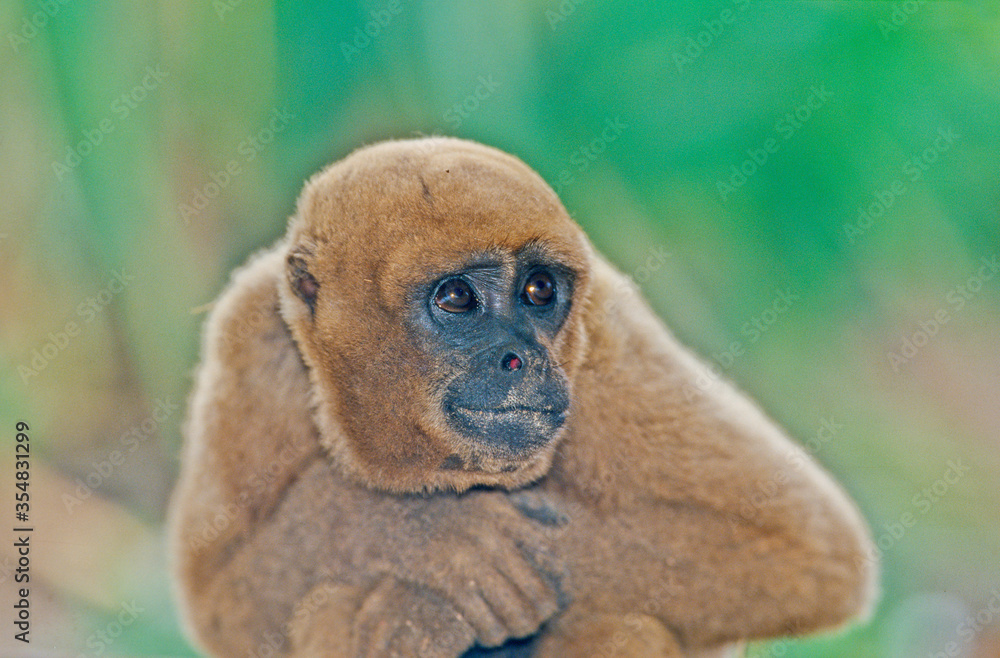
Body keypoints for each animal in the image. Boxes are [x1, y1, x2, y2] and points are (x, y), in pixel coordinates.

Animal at [168, 137, 877, 657]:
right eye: (457, 298)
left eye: (540, 290)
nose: (525, 358)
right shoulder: (252, 335)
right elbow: (221, 595)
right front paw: (434, 537)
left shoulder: (606, 343)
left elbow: (809, 548)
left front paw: (424, 590)